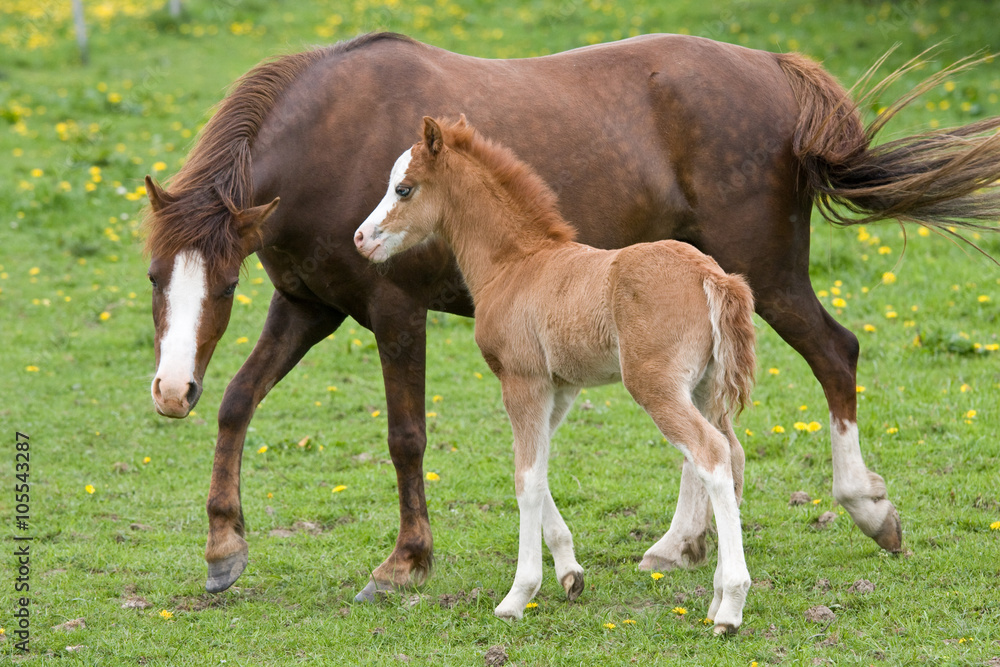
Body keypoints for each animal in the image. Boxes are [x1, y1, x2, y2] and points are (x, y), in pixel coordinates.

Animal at [356, 117, 752, 636]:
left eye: (403, 188)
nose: (361, 238)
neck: (514, 265)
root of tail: (712, 275)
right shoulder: (558, 389)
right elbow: (539, 470)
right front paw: (569, 574)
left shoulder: (521, 381)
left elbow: (525, 480)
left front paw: (517, 595)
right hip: (706, 387)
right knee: (733, 453)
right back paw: (716, 596)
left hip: (656, 386)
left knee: (710, 454)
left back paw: (730, 606)